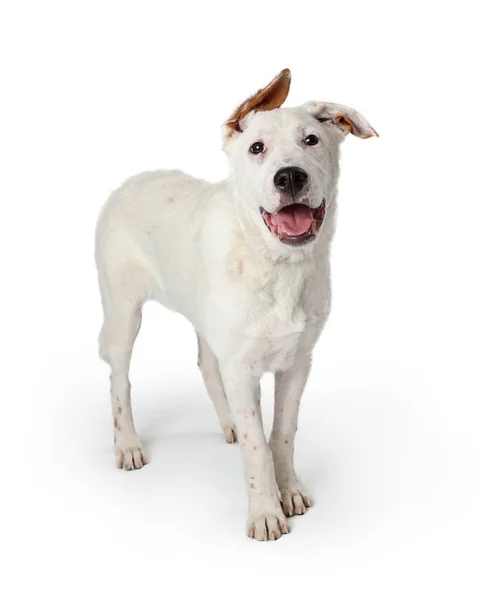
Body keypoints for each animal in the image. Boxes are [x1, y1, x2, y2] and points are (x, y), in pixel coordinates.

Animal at [95, 69, 376, 540]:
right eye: (256, 148)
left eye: (312, 140)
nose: (290, 177)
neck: (277, 266)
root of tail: (129, 181)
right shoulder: (242, 369)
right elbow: (257, 446)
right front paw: (265, 513)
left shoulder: (298, 363)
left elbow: (281, 433)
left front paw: (289, 491)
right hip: (122, 313)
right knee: (120, 380)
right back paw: (129, 444)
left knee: (208, 367)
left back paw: (226, 422)